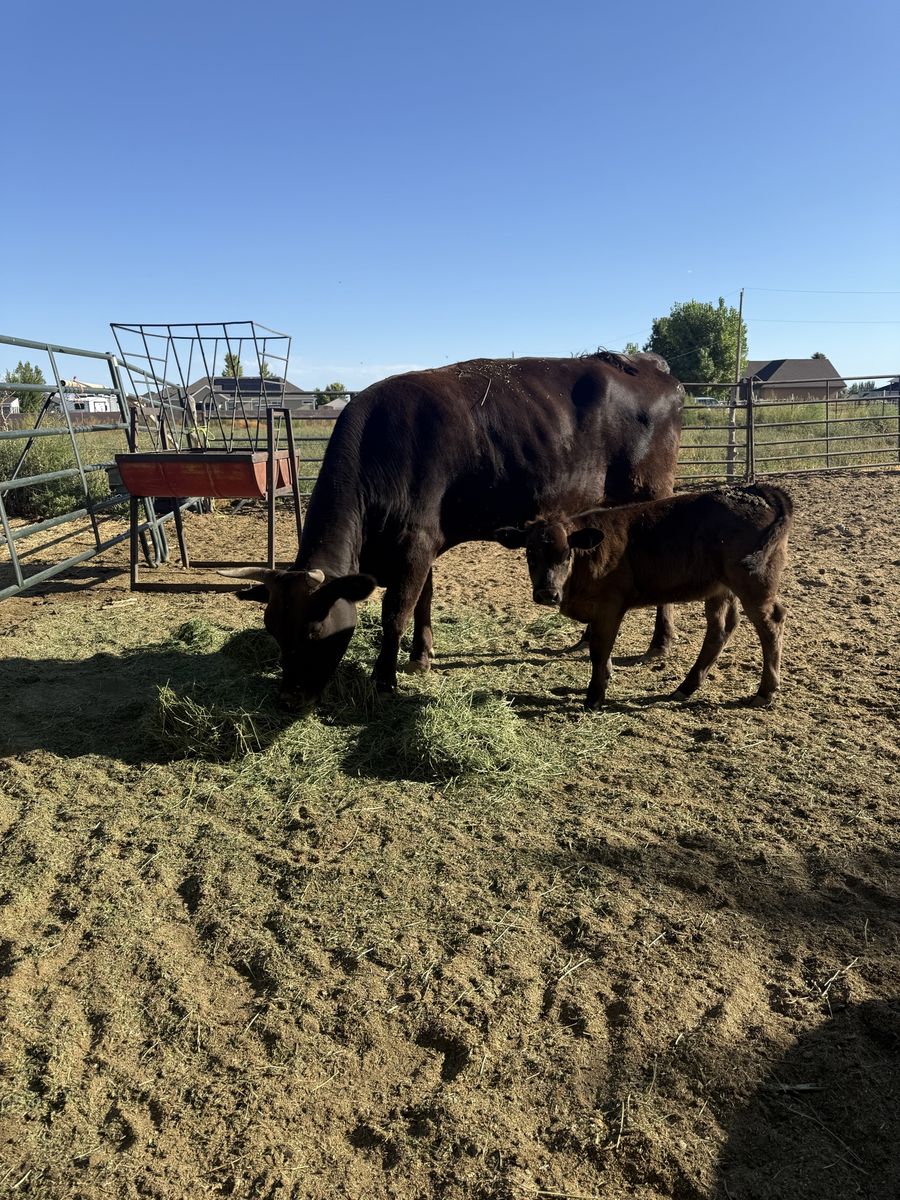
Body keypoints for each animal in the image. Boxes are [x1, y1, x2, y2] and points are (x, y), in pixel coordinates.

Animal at [222, 352, 684, 707]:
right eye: (273, 629)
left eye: (314, 631)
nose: (289, 700)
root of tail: (645, 364)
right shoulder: (422, 545)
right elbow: (423, 601)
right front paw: (420, 657)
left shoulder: (415, 543)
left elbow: (396, 612)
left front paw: (384, 680)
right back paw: (587, 639)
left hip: (652, 493)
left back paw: (660, 643)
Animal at [494, 484, 792, 709]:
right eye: (530, 552)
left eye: (567, 553)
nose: (547, 592)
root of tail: (758, 490)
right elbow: (604, 651)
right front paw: (605, 679)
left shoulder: (609, 605)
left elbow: (599, 650)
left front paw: (594, 697)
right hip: (720, 588)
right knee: (721, 628)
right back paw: (686, 687)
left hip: (754, 584)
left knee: (771, 623)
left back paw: (765, 691)